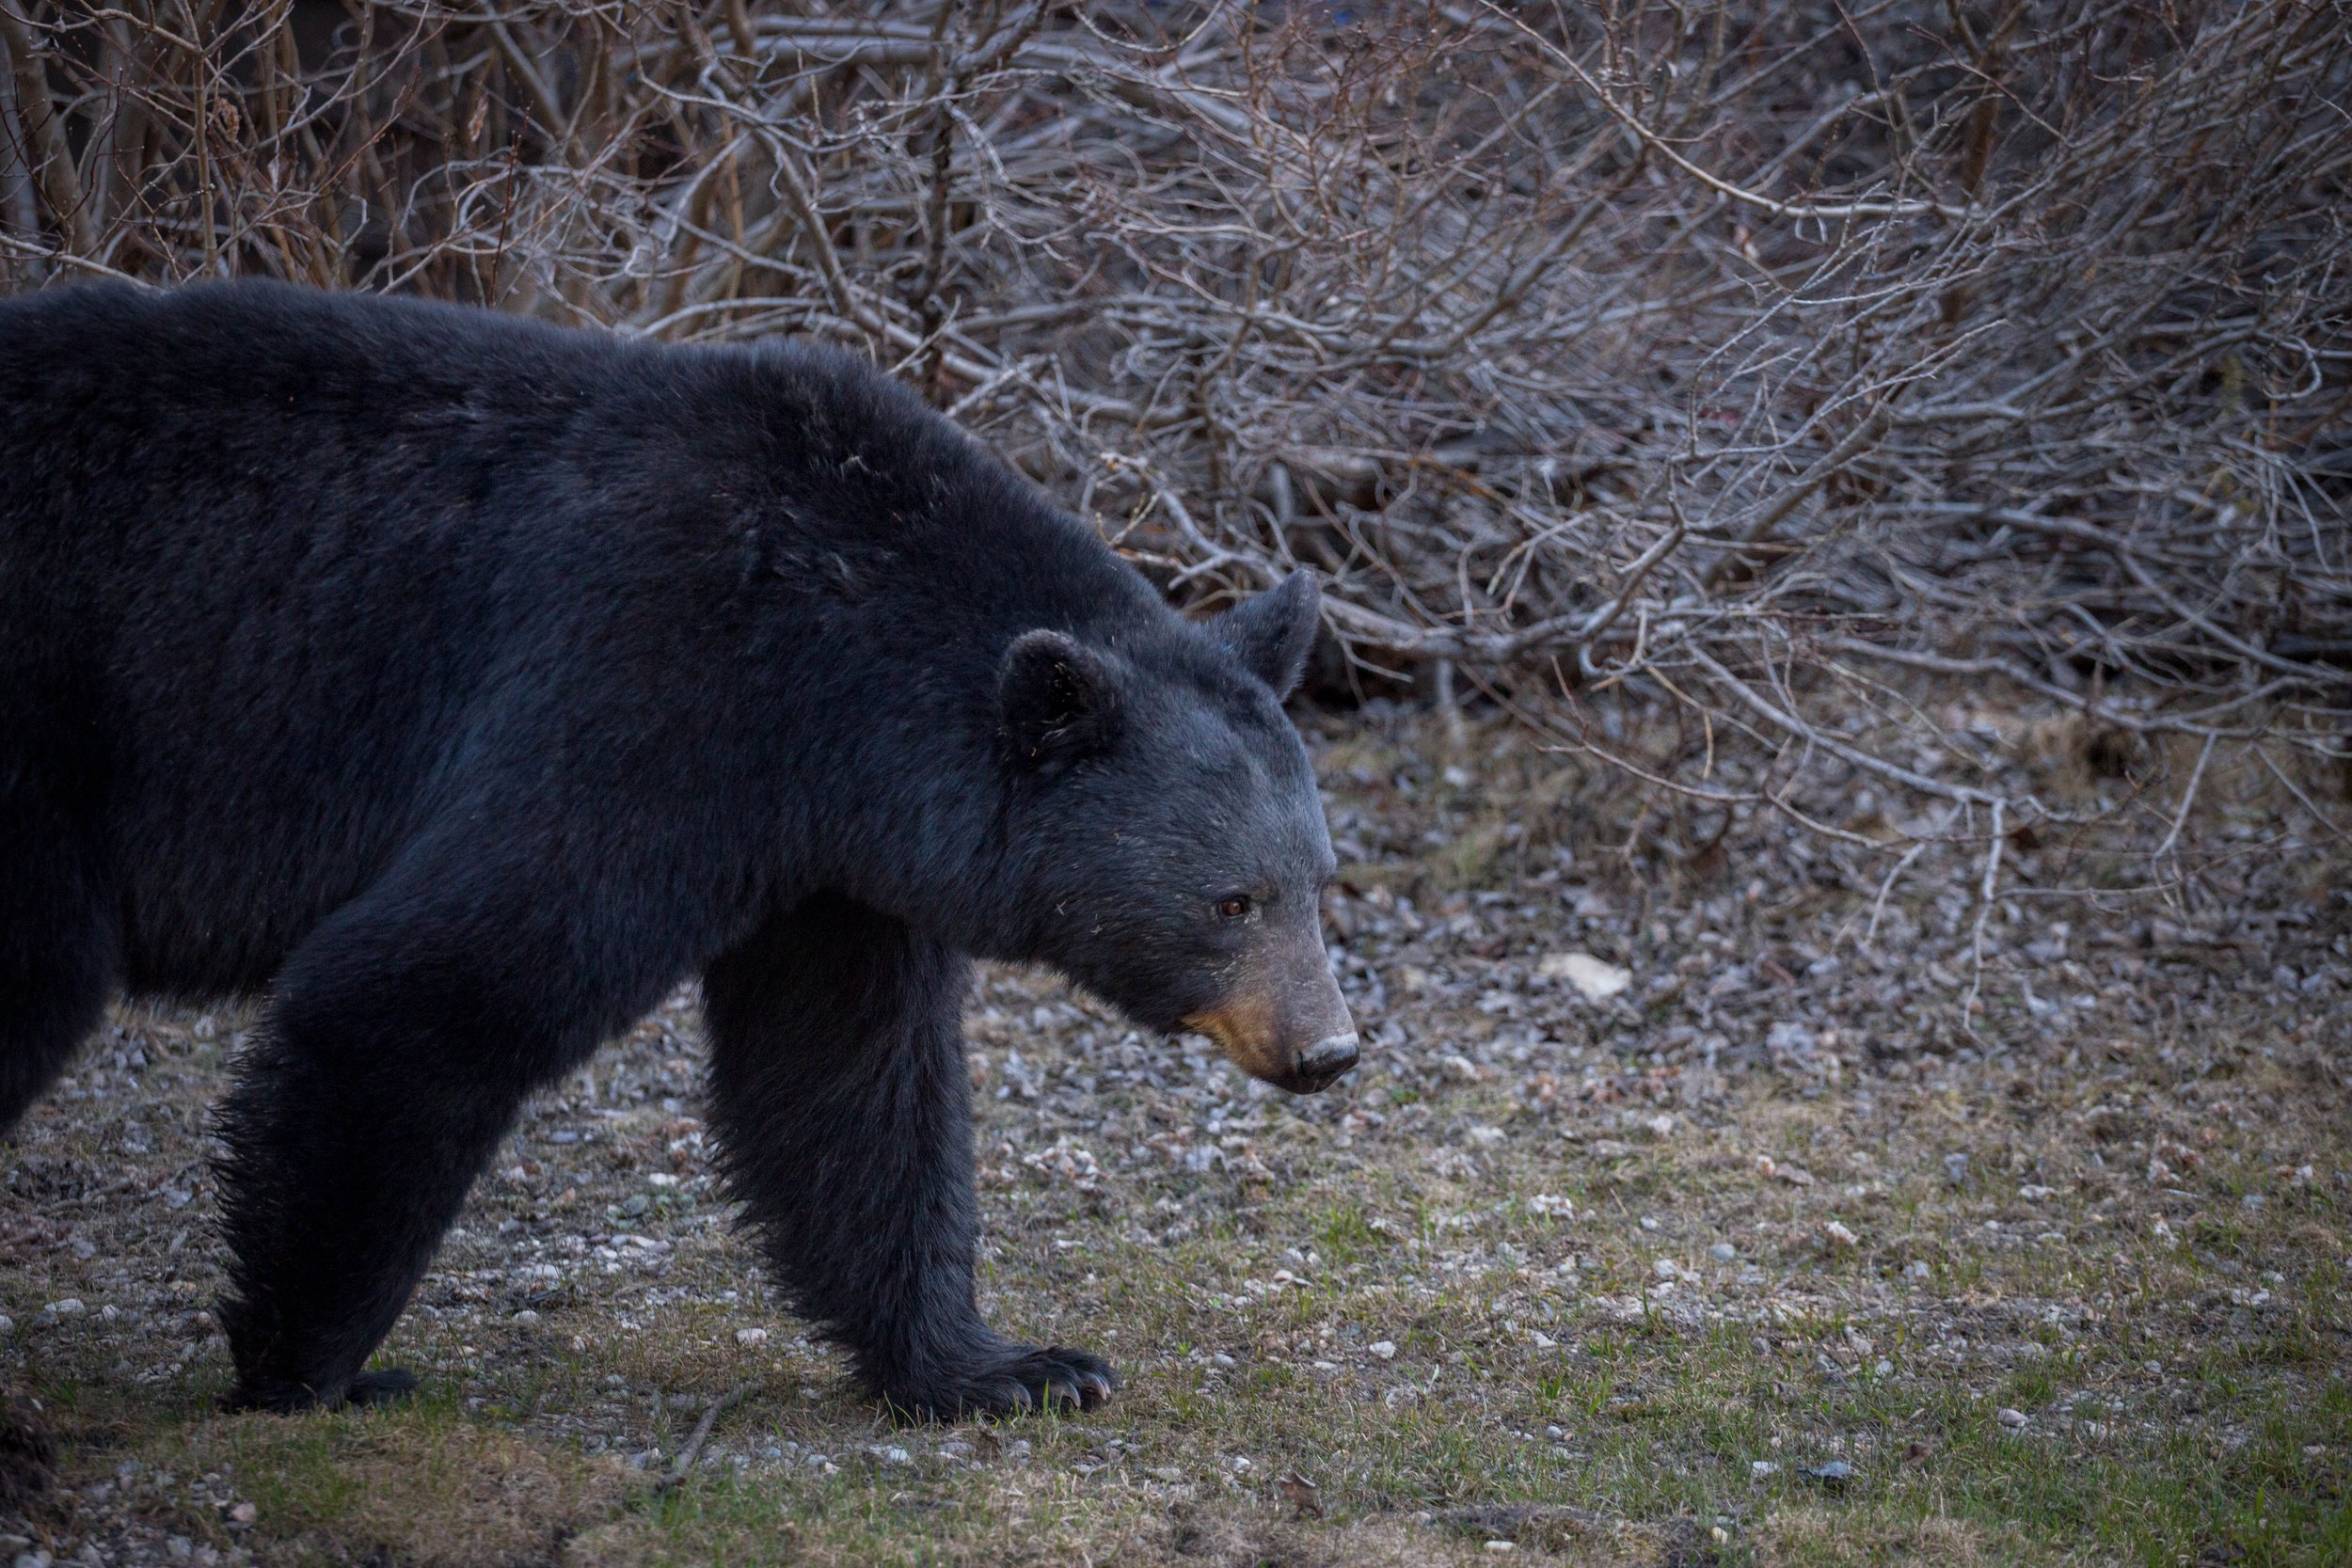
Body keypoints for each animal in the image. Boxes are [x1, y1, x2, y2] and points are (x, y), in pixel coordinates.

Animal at [0, 280, 1359, 1418]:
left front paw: (1005, 1364)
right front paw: (309, 1366)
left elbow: (846, 1073)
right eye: (1232, 900)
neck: (823, 656)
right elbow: (418, 989)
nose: (1328, 1048)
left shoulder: (829, 860)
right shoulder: (639, 698)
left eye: (1319, 883)